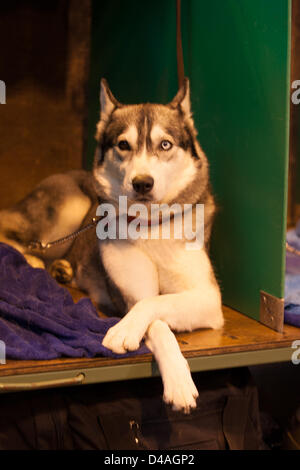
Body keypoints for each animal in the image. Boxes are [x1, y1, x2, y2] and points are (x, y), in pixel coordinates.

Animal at [0, 79, 223, 414]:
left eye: (165, 144)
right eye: (123, 145)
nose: (142, 182)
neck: (150, 227)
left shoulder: (208, 299)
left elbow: (157, 303)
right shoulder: (130, 294)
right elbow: (153, 314)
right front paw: (173, 376)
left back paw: (62, 268)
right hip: (70, 208)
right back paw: (33, 260)